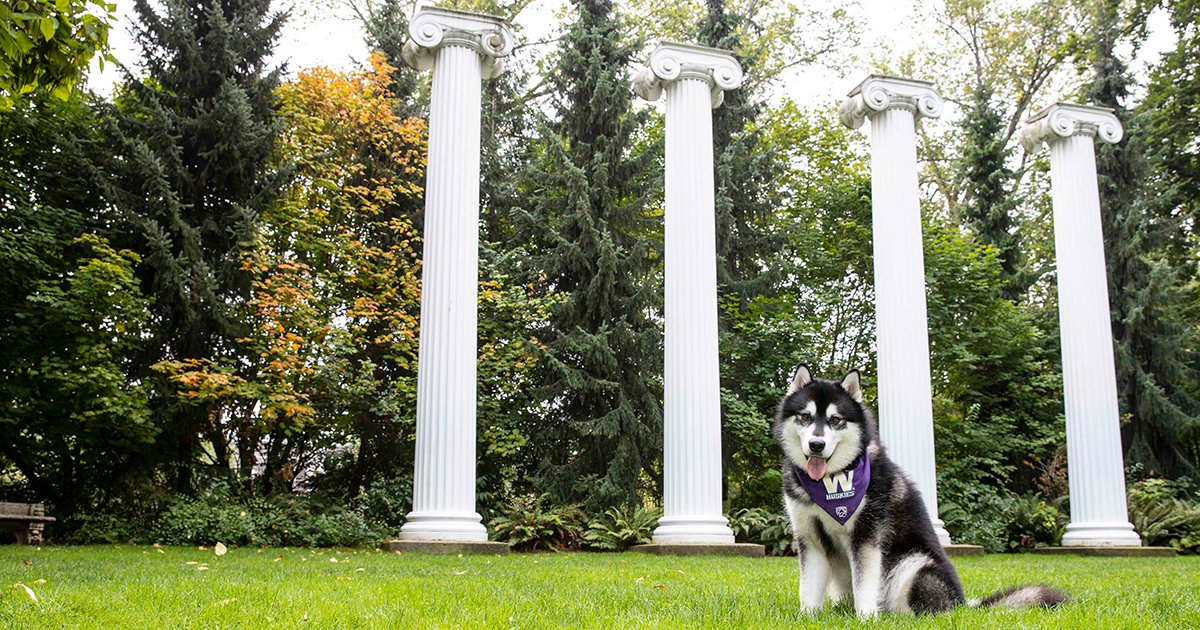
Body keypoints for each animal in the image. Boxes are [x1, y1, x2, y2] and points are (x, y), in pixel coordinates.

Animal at [777, 364, 1070, 614]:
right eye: (805, 417)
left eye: (836, 419)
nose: (816, 445)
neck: (832, 481)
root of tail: (962, 604)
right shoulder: (809, 537)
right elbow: (808, 589)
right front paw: (808, 616)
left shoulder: (867, 538)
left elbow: (864, 586)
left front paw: (866, 618)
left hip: (913, 564)